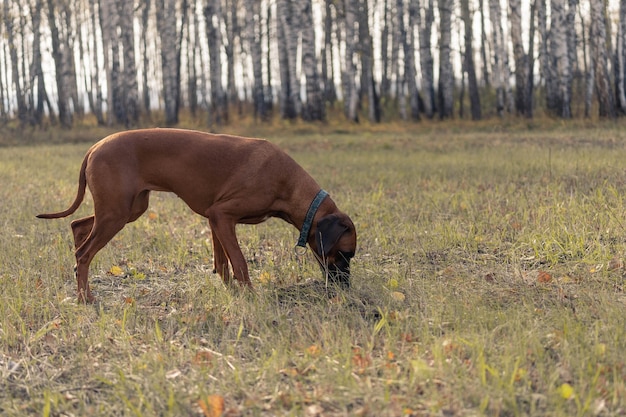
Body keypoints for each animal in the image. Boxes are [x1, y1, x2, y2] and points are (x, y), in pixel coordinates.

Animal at [36, 127, 354, 302]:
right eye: (345, 254)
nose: (346, 287)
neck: (287, 182)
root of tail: (94, 147)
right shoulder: (222, 215)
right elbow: (240, 263)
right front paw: (250, 296)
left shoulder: (216, 220)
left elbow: (222, 263)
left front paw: (232, 292)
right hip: (116, 213)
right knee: (83, 253)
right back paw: (85, 298)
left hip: (128, 209)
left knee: (78, 227)